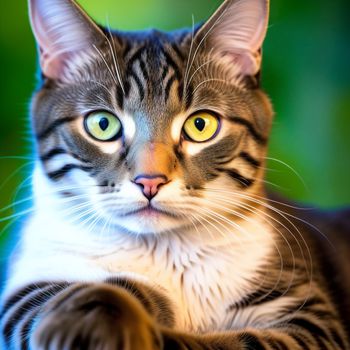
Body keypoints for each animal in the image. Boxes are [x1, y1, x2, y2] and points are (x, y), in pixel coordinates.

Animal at [0, 0, 350, 348]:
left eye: (201, 125)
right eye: (102, 124)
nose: (149, 181)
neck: (163, 252)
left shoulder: (309, 316)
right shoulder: (25, 287)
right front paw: (93, 317)